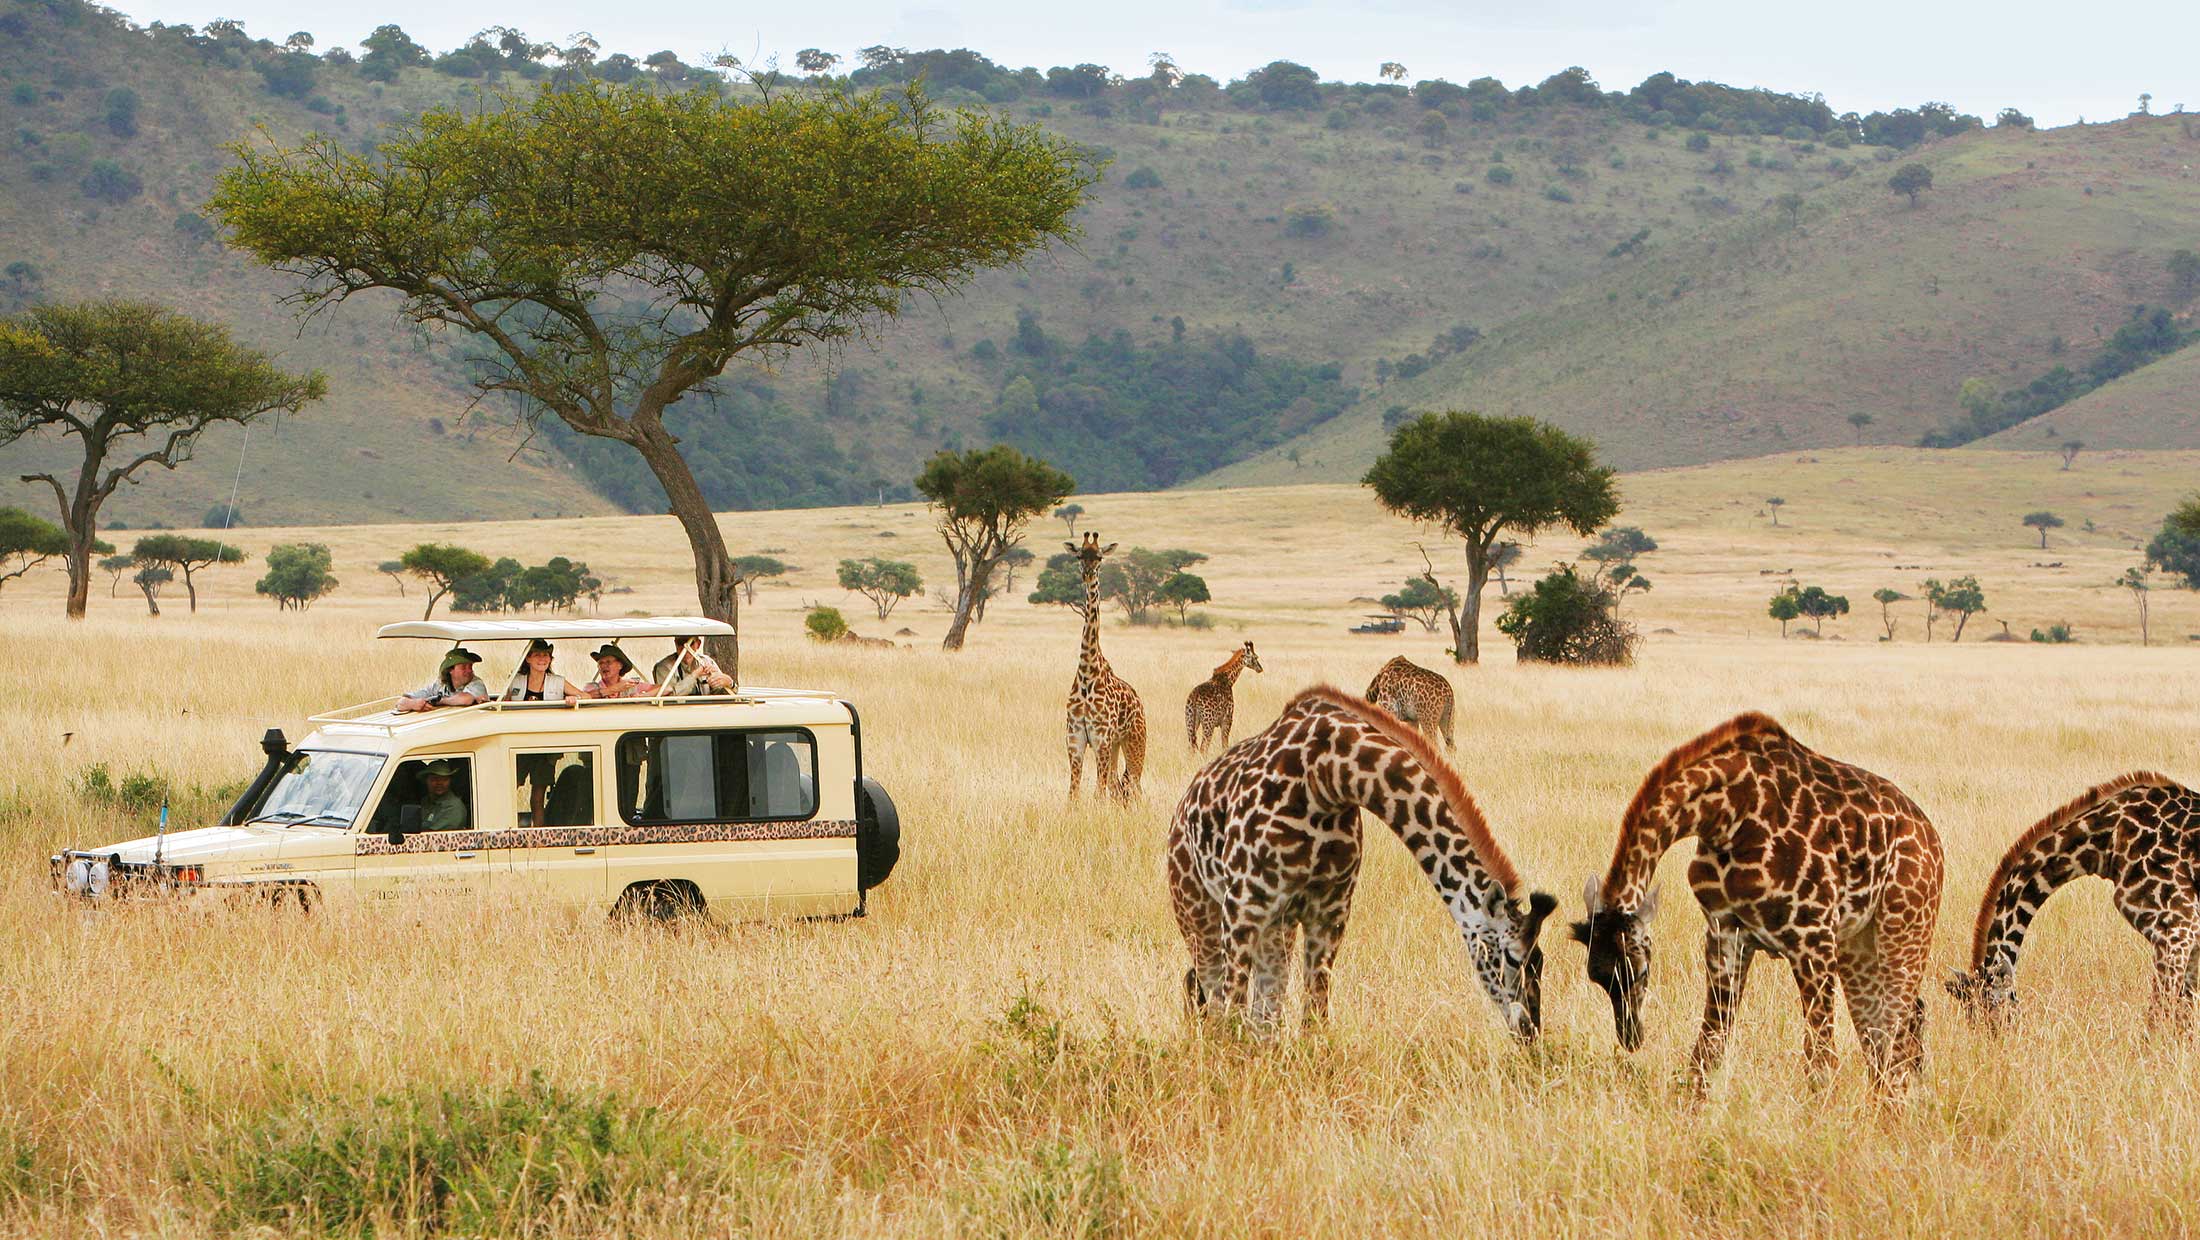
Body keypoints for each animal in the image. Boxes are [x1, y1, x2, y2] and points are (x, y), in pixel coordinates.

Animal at [1064, 532, 1152, 804]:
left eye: (1100, 557)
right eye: (1079, 555)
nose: (1088, 573)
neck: (1087, 673)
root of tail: (1139, 701)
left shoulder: (1100, 737)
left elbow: (1098, 793)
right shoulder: (1075, 739)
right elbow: (1074, 793)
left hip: (1134, 740)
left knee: (1134, 785)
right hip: (1115, 746)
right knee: (1117, 786)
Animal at [1170, 685, 1566, 1037]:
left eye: (1541, 961)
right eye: (1513, 957)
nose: (1531, 1030)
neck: (1327, 776)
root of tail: (1183, 806)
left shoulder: (1330, 912)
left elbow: (1314, 1018)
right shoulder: (1243, 906)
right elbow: (1232, 1012)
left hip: (1276, 928)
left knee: (1263, 1013)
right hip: (1200, 914)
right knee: (1211, 995)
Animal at [1566, 712, 1944, 1099]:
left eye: (1640, 972)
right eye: (1597, 977)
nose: (1631, 1037)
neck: (1727, 815)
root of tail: (1931, 836)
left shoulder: (1813, 937)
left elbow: (1820, 1063)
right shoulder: (1725, 933)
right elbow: (1708, 1049)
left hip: (1904, 927)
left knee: (1897, 1035)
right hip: (1858, 943)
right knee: (1887, 1036)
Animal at [1944, 769, 2200, 1033]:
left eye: (1994, 1015)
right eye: (1971, 1020)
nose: (1996, 1042)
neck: (2107, 840)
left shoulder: (2177, 929)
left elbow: (2158, 1015)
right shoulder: (2190, 941)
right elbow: (2185, 1018)